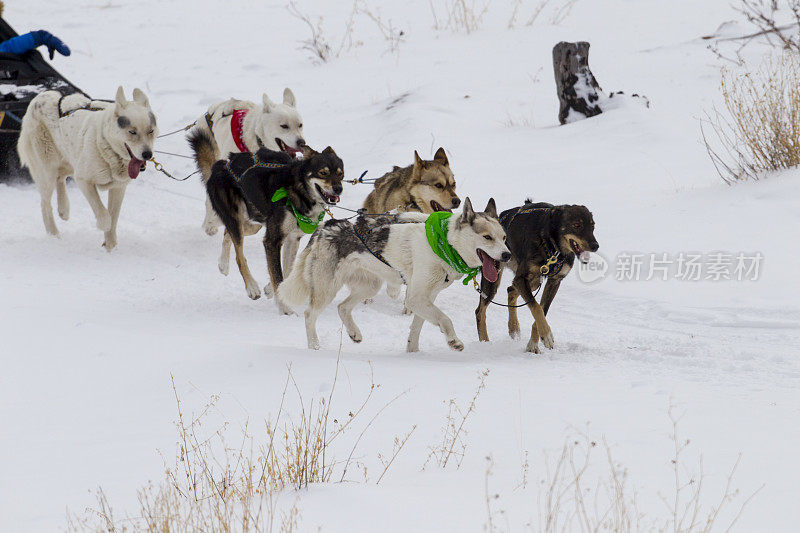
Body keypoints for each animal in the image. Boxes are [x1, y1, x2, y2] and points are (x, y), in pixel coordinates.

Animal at [18, 87, 158, 249]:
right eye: (132, 131)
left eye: (150, 131)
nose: (147, 154)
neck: (107, 147)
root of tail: (39, 97)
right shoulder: (83, 180)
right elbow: (105, 216)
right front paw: (104, 227)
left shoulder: (118, 187)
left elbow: (114, 217)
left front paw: (110, 246)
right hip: (48, 171)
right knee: (45, 203)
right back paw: (53, 234)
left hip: (69, 160)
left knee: (60, 178)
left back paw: (63, 209)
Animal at [192, 128, 346, 312]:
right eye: (323, 172)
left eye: (340, 174)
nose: (338, 189)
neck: (297, 190)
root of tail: (222, 163)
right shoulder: (272, 241)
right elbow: (277, 275)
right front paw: (284, 309)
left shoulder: (292, 238)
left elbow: (287, 270)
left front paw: (272, 290)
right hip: (236, 217)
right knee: (239, 255)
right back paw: (251, 287)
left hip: (252, 220)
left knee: (230, 233)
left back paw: (223, 264)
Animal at [278, 197, 510, 352]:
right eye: (487, 237)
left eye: (504, 237)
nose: (507, 255)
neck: (445, 242)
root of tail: (325, 226)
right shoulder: (416, 298)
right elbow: (445, 319)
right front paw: (454, 341)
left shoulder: (426, 298)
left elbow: (416, 328)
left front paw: (413, 353)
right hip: (327, 288)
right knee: (310, 314)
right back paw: (314, 347)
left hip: (369, 286)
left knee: (343, 307)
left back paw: (354, 333)